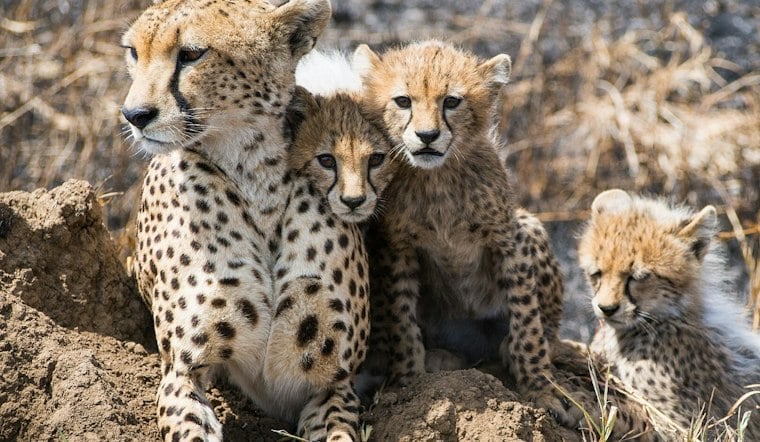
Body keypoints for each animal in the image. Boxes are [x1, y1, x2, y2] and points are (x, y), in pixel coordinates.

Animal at [122, 1, 371, 440]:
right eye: (134, 52)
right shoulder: (180, 372)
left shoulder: (334, 385)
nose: (134, 115)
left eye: (191, 54)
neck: (255, 174)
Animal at [351, 40, 586, 426]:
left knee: (543, 330)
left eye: (451, 101)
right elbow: (402, 320)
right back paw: (441, 358)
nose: (427, 136)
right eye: (403, 101)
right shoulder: (397, 248)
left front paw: (541, 388)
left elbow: (528, 324)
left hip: (530, 227)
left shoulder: (507, 238)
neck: (437, 177)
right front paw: (408, 384)